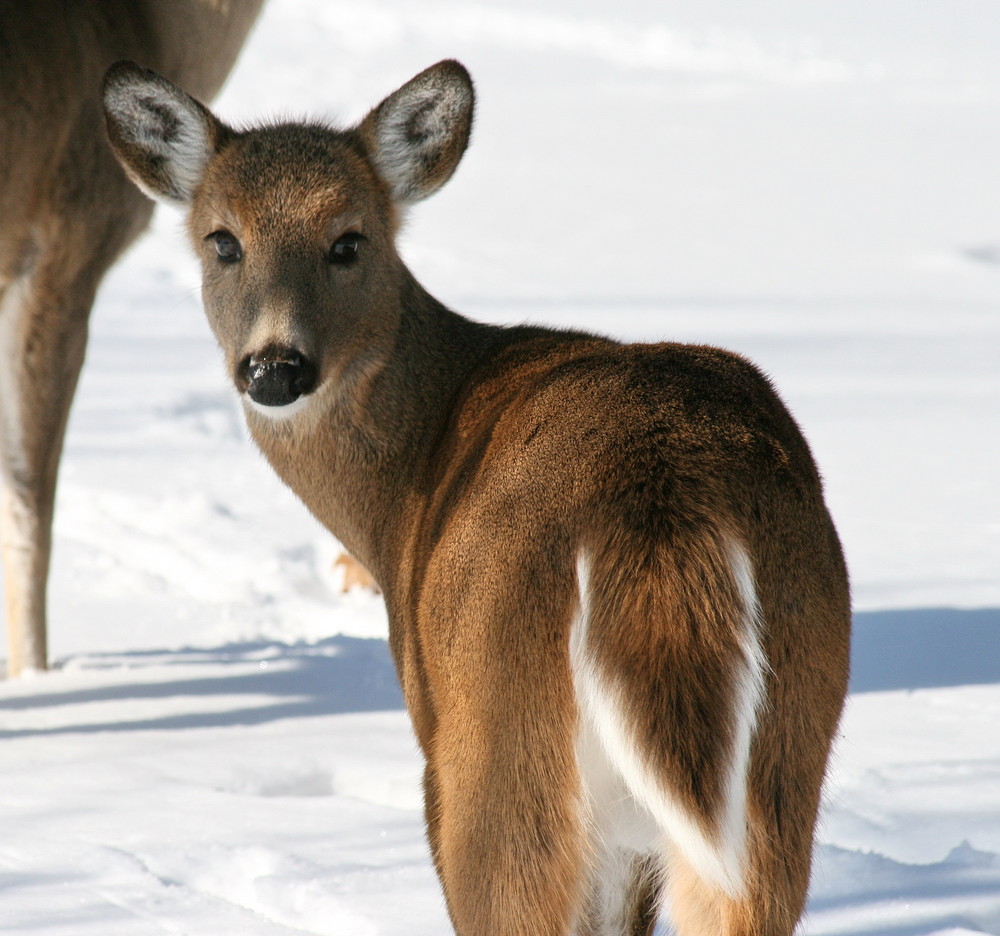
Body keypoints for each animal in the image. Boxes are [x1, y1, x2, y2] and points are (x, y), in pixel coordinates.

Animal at [103, 60, 852, 936]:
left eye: (348, 241)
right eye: (223, 240)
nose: (276, 368)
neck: (399, 496)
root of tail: (658, 501)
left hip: (496, 749)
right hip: (782, 759)